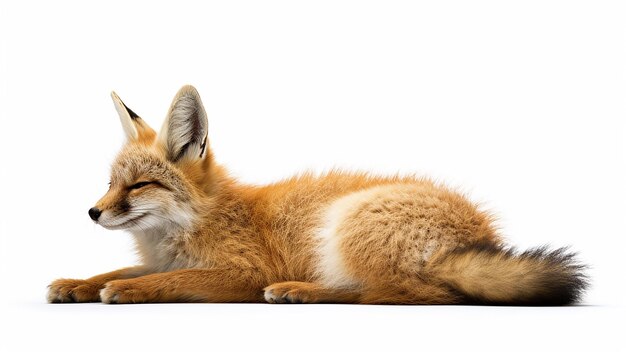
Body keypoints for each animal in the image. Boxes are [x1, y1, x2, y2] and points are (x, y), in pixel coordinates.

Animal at [47, 84, 584, 304]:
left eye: (139, 185)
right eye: (111, 182)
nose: (92, 212)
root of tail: (481, 233)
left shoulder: (245, 272)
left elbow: (168, 282)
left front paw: (132, 291)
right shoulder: (163, 259)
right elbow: (114, 271)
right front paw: (79, 282)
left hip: (346, 227)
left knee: (406, 294)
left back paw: (299, 291)